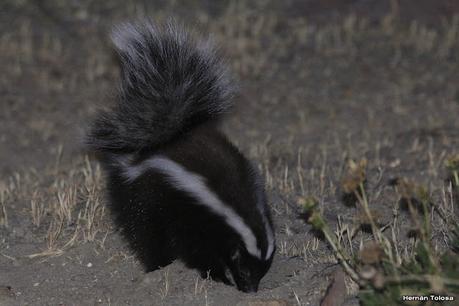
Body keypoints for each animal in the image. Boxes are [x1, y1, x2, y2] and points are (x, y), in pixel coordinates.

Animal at [85, 20, 274, 292]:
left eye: (261, 272)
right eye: (244, 269)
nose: (249, 290)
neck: (237, 207)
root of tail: (156, 142)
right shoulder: (194, 217)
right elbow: (198, 251)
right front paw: (216, 276)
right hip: (143, 196)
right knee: (144, 232)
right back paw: (157, 266)